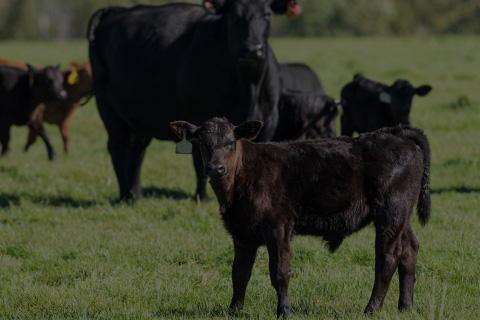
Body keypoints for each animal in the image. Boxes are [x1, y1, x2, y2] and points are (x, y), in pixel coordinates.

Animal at [87, 0, 300, 200]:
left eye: (267, 15)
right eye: (235, 16)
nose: (253, 49)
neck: (249, 89)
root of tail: (116, 10)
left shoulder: (268, 120)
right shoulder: (198, 118)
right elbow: (200, 164)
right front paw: (202, 198)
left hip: (138, 120)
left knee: (136, 152)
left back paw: (136, 195)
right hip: (108, 108)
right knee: (118, 148)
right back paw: (125, 195)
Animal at [172, 117, 432, 318]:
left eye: (230, 142)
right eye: (202, 143)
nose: (215, 168)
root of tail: (396, 133)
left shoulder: (278, 227)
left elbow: (280, 273)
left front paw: (284, 311)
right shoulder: (241, 233)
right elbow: (239, 273)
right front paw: (234, 310)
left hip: (391, 211)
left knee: (387, 257)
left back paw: (372, 308)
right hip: (402, 217)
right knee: (409, 250)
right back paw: (406, 306)